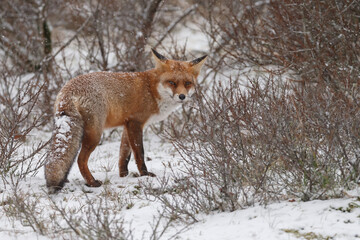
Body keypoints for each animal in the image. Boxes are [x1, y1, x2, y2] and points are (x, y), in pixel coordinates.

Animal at [44, 49, 208, 193]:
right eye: (172, 83)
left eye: (187, 83)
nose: (182, 96)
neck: (152, 90)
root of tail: (67, 90)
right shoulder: (136, 122)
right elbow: (139, 153)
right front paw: (145, 175)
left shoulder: (127, 124)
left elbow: (124, 154)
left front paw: (123, 175)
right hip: (95, 135)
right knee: (80, 160)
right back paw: (92, 182)